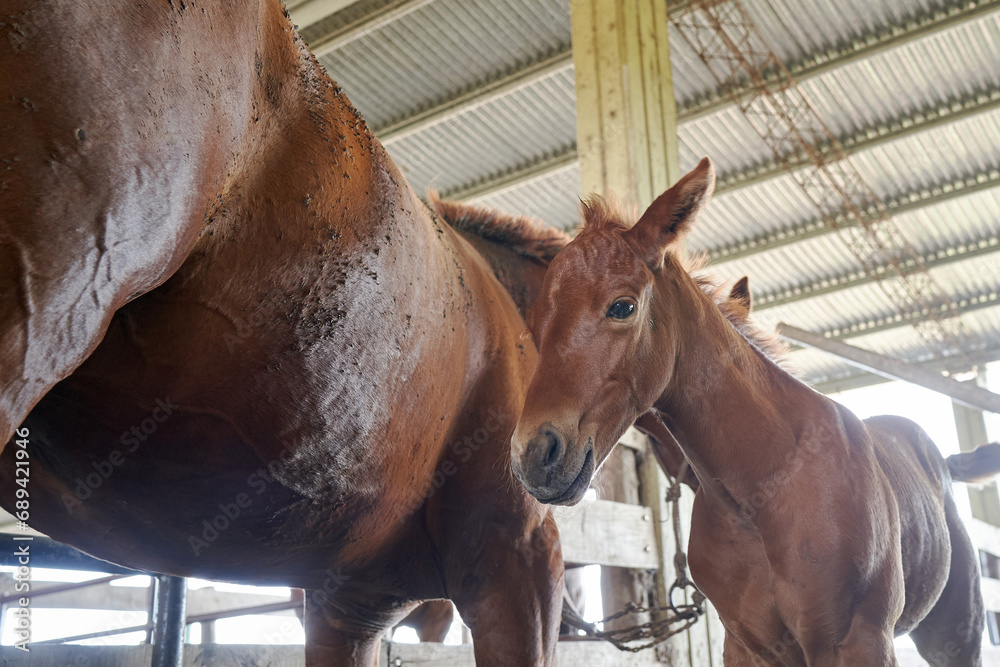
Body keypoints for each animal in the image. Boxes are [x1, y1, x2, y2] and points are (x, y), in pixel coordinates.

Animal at [509, 156, 1000, 665]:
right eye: (534, 326)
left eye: (622, 306)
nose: (534, 456)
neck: (764, 489)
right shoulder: (748, 646)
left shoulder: (858, 642)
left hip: (956, 634)